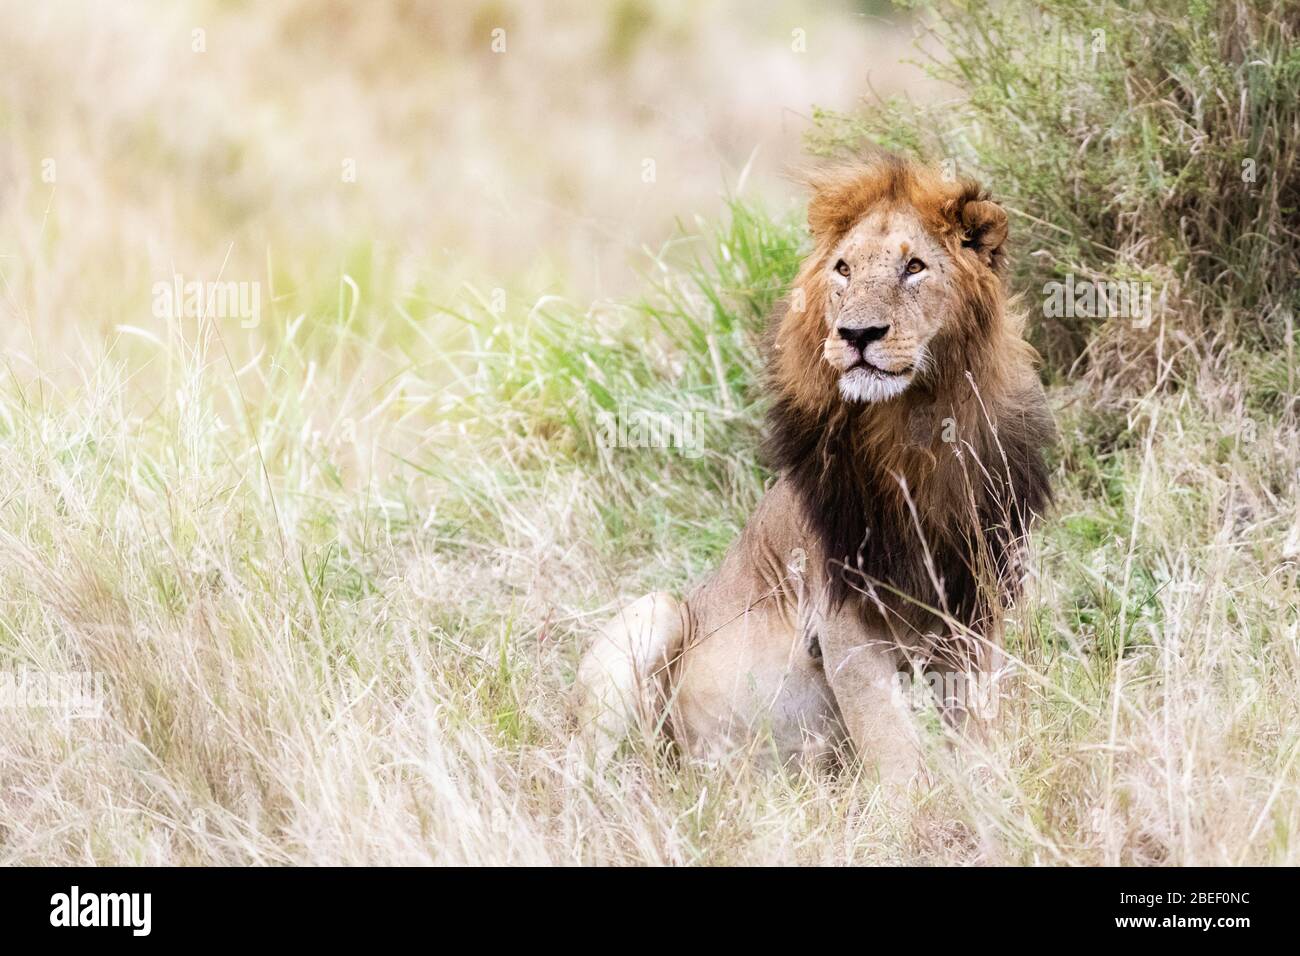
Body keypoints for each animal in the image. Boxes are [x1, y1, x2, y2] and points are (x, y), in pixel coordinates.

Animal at [576, 155, 1054, 788]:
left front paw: (985, 786)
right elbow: (891, 740)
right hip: (656, 612)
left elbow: (974, 719)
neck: (916, 430)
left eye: (915, 267)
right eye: (843, 269)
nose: (857, 334)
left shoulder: (977, 601)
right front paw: (915, 807)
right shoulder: (842, 617)